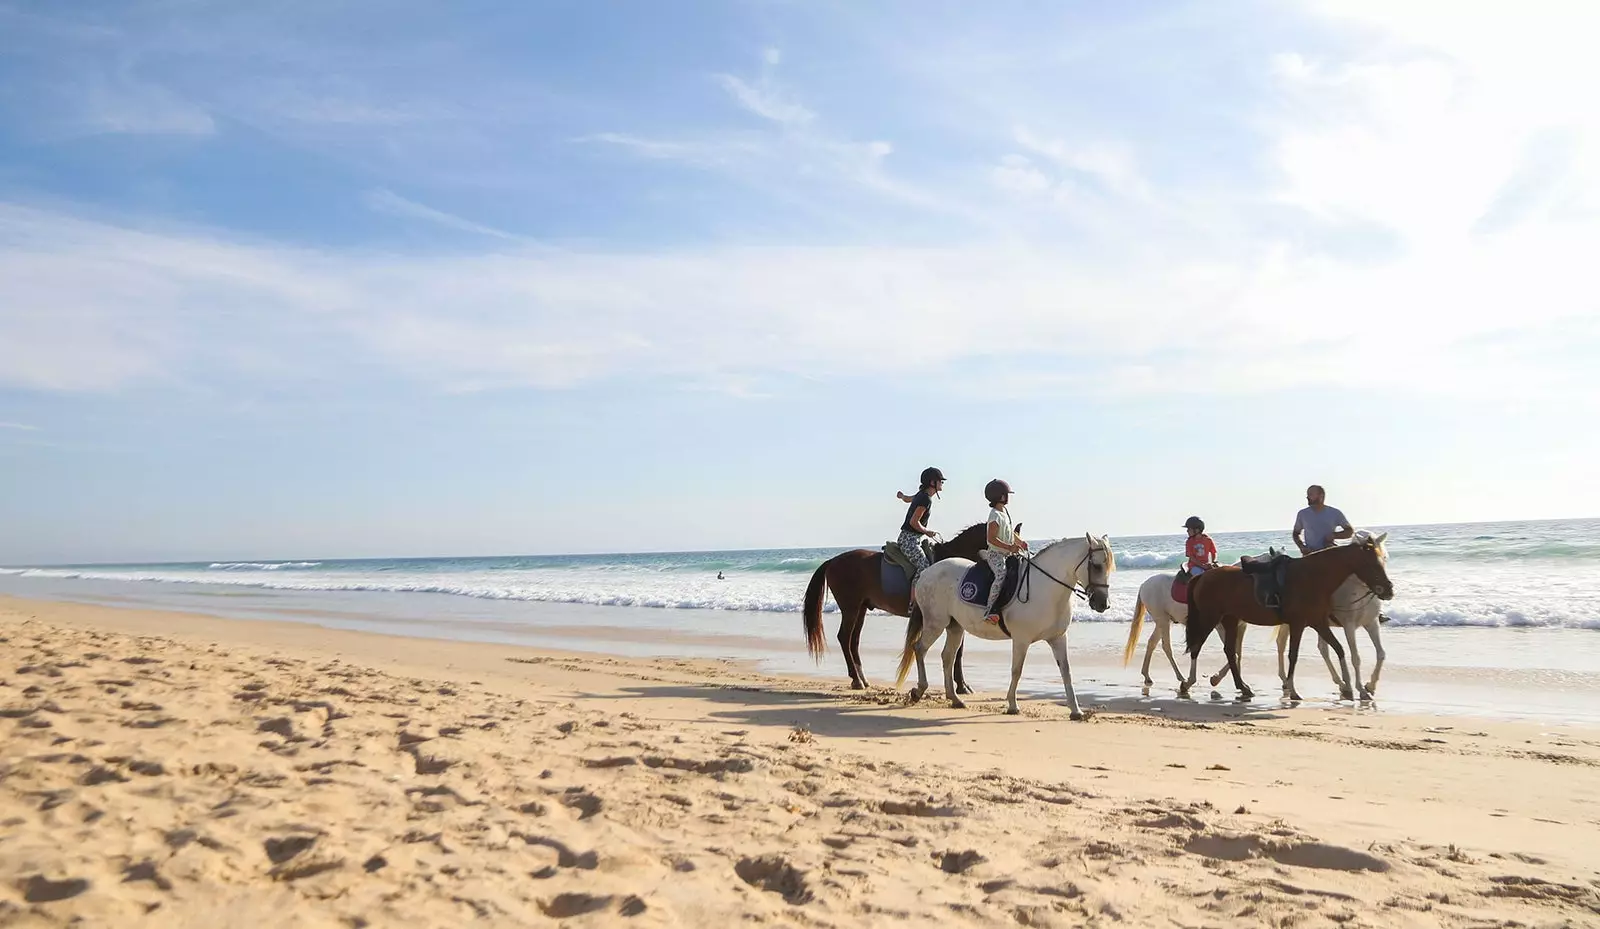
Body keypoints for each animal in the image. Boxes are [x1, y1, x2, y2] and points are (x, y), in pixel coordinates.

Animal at [800, 521, 998, 687]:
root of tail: (832, 561)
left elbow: (958, 651)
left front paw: (962, 685)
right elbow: (957, 651)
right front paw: (962, 686)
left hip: (861, 609)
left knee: (853, 641)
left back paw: (862, 678)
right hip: (851, 608)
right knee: (844, 638)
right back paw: (856, 680)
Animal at [889, 534, 1113, 719]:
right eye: (1096, 566)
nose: (1102, 604)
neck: (1046, 588)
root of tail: (927, 572)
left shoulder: (1058, 638)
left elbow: (1066, 671)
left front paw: (1076, 711)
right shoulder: (1021, 639)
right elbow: (1017, 670)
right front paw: (1012, 705)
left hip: (955, 627)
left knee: (947, 657)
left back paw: (955, 699)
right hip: (935, 623)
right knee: (920, 648)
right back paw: (919, 691)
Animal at [1184, 534, 1395, 700]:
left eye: (1383, 560)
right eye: (1372, 564)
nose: (1389, 590)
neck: (1313, 577)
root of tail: (1203, 577)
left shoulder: (1318, 623)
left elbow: (1339, 649)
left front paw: (1349, 688)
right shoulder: (1298, 624)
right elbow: (1293, 654)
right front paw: (1293, 690)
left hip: (1231, 620)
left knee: (1229, 651)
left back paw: (1243, 688)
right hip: (1209, 618)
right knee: (1197, 647)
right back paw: (1187, 683)